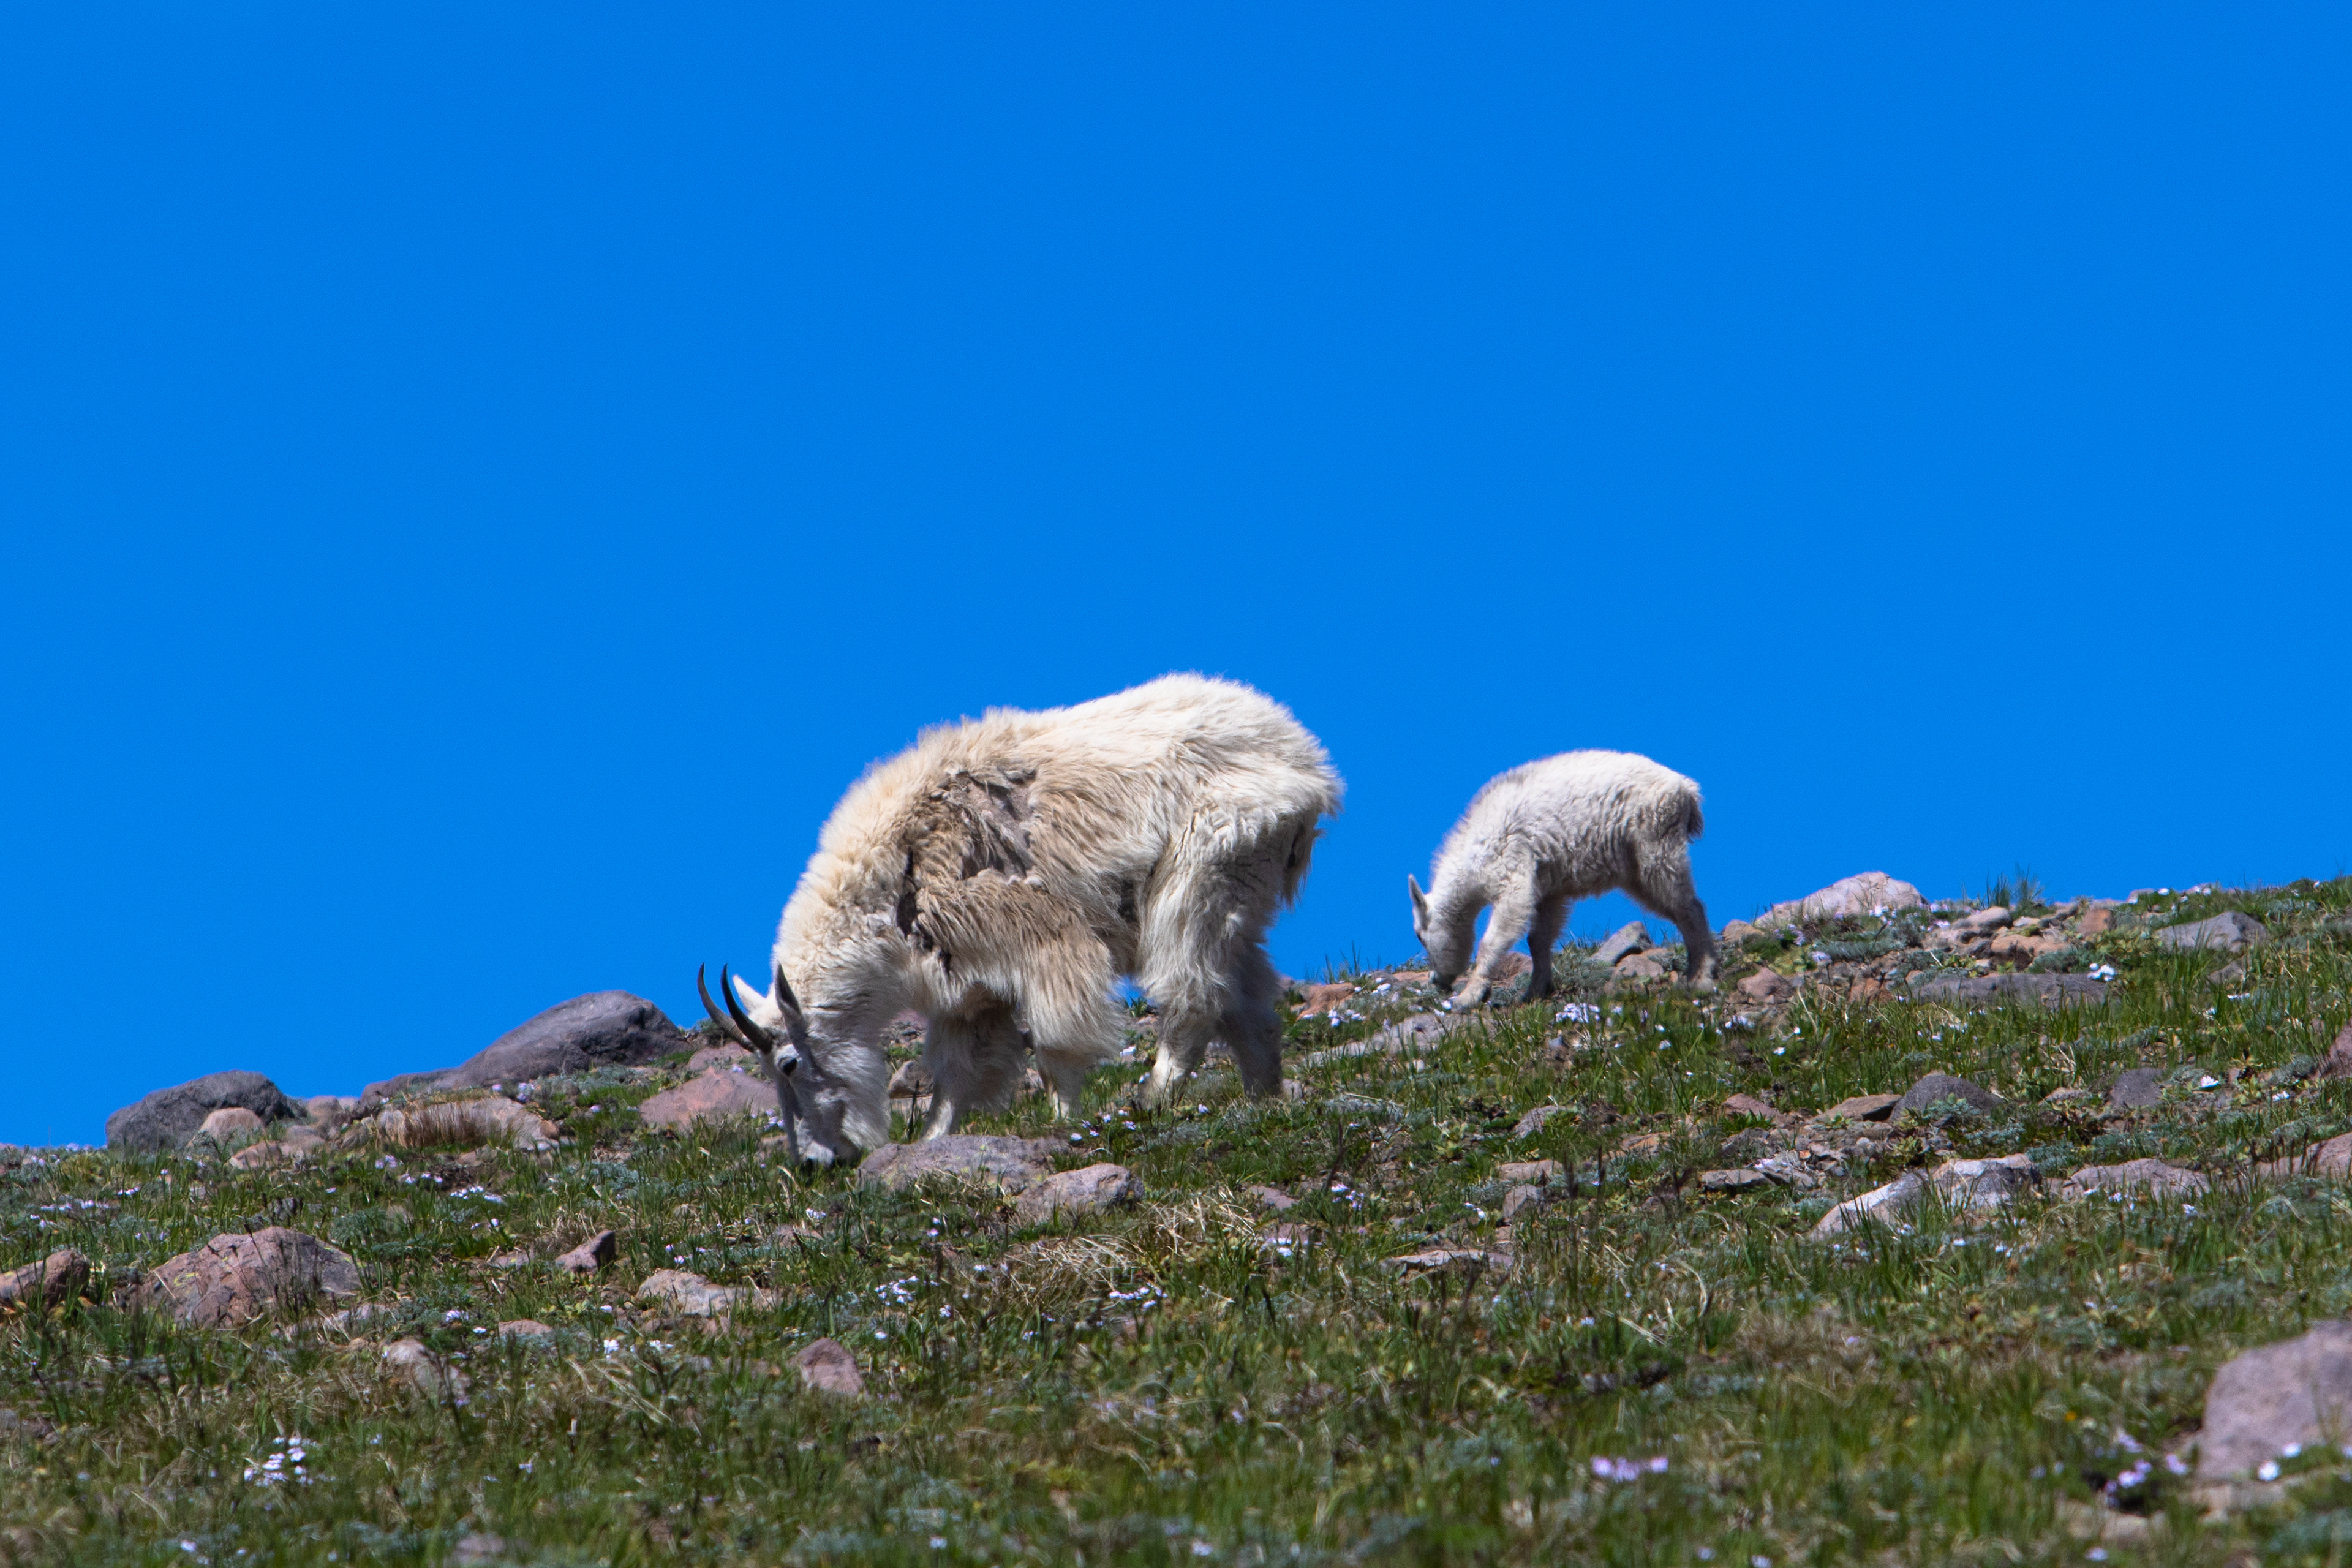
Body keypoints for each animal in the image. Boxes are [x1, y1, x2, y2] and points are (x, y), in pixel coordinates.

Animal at [700, 674, 1342, 1164]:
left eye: (787, 1063)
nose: (814, 1163)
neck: (894, 881)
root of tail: (1309, 765)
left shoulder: (1040, 941)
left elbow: (1055, 1046)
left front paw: (1063, 1121)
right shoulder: (969, 988)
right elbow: (955, 1077)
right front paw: (930, 1143)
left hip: (1201, 873)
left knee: (1195, 993)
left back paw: (1152, 1100)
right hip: (1242, 893)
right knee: (1250, 1004)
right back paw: (1265, 1100)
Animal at [1409, 750, 1716, 1005]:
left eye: (1420, 936)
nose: (1437, 981)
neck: (1473, 855)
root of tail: (1687, 790)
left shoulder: (1513, 871)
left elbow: (1494, 938)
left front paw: (1469, 997)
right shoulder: (1548, 891)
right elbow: (1538, 939)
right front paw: (1535, 992)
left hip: (1656, 844)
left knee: (1689, 907)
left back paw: (1703, 976)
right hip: (1636, 870)